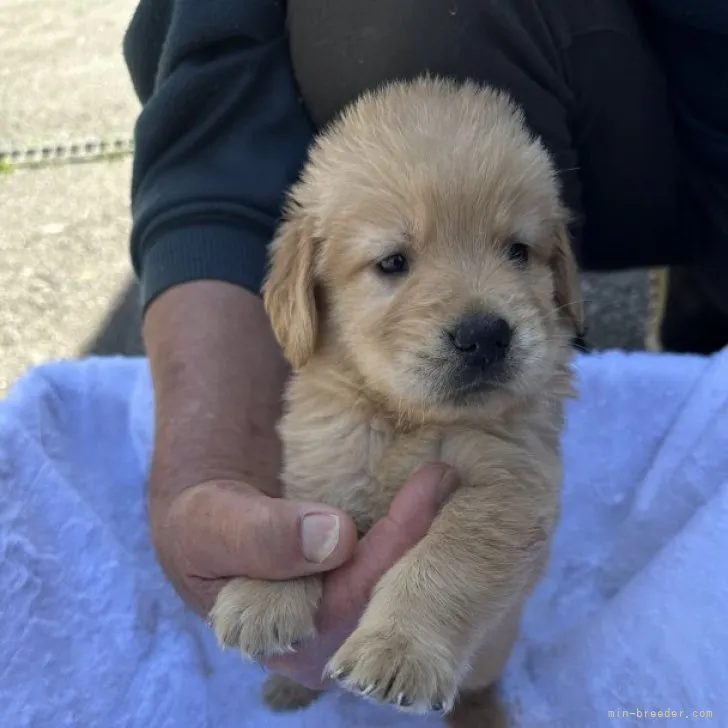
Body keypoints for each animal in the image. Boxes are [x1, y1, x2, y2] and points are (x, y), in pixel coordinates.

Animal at [208, 75, 584, 724]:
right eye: (392, 262)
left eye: (518, 251)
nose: (486, 335)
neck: (407, 419)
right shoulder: (326, 454)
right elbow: (301, 510)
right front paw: (261, 595)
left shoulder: (511, 487)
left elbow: (447, 558)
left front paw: (397, 648)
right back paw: (289, 688)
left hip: (493, 650)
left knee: (480, 684)